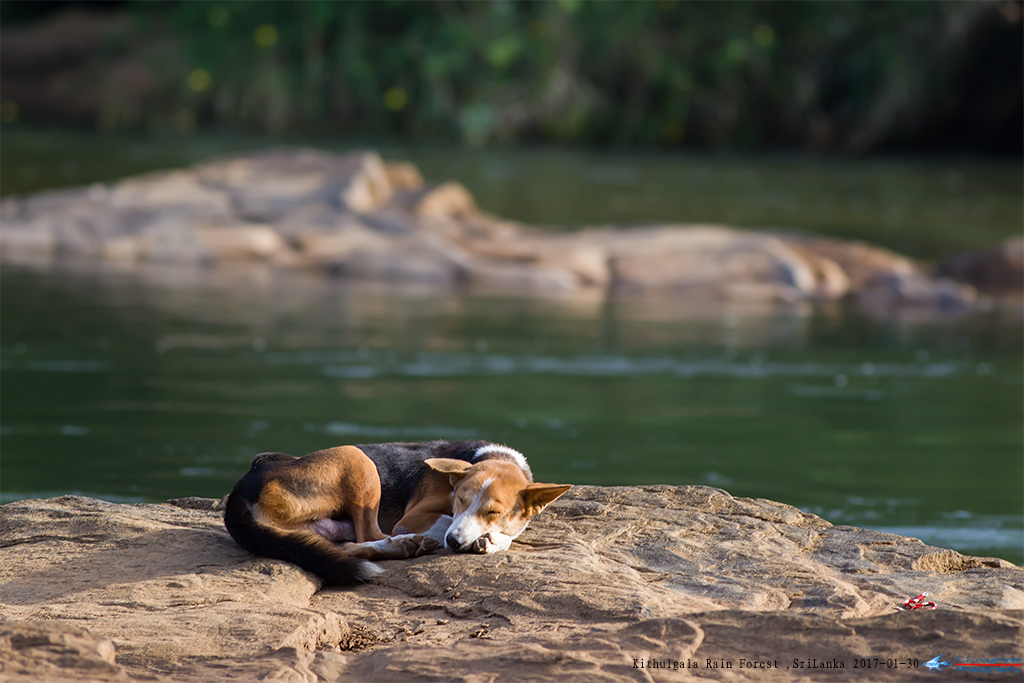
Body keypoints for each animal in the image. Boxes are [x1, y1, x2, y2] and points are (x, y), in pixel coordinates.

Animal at [224, 440, 573, 585]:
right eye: (459, 499)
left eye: (493, 511)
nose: (455, 542)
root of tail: (243, 486)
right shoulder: (415, 518)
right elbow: (443, 522)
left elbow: (509, 532)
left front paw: (493, 539)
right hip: (357, 459)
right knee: (370, 534)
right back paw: (406, 545)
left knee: (347, 545)